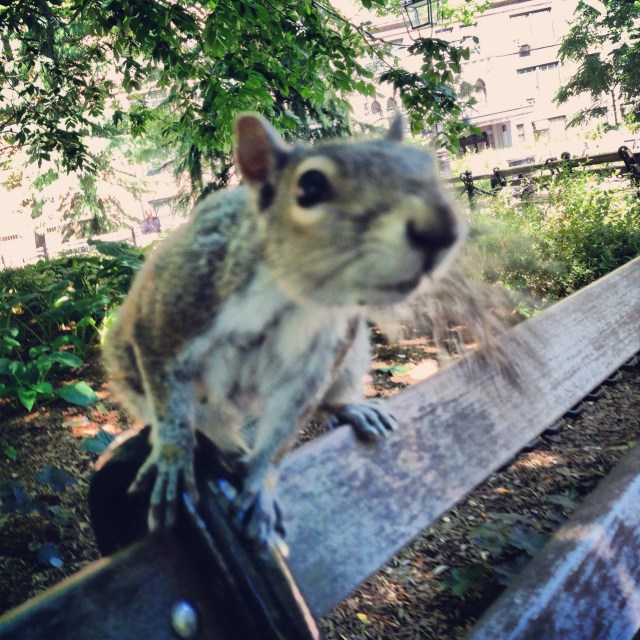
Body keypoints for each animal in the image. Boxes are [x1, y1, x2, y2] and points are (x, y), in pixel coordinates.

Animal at [103, 114, 464, 546]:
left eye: (426, 164)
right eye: (311, 186)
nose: (441, 230)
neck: (291, 297)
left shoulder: (316, 364)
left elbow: (282, 434)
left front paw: (260, 487)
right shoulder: (174, 313)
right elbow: (170, 402)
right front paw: (173, 461)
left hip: (351, 351)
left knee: (327, 400)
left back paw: (350, 407)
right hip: (139, 375)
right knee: (199, 422)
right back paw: (222, 449)